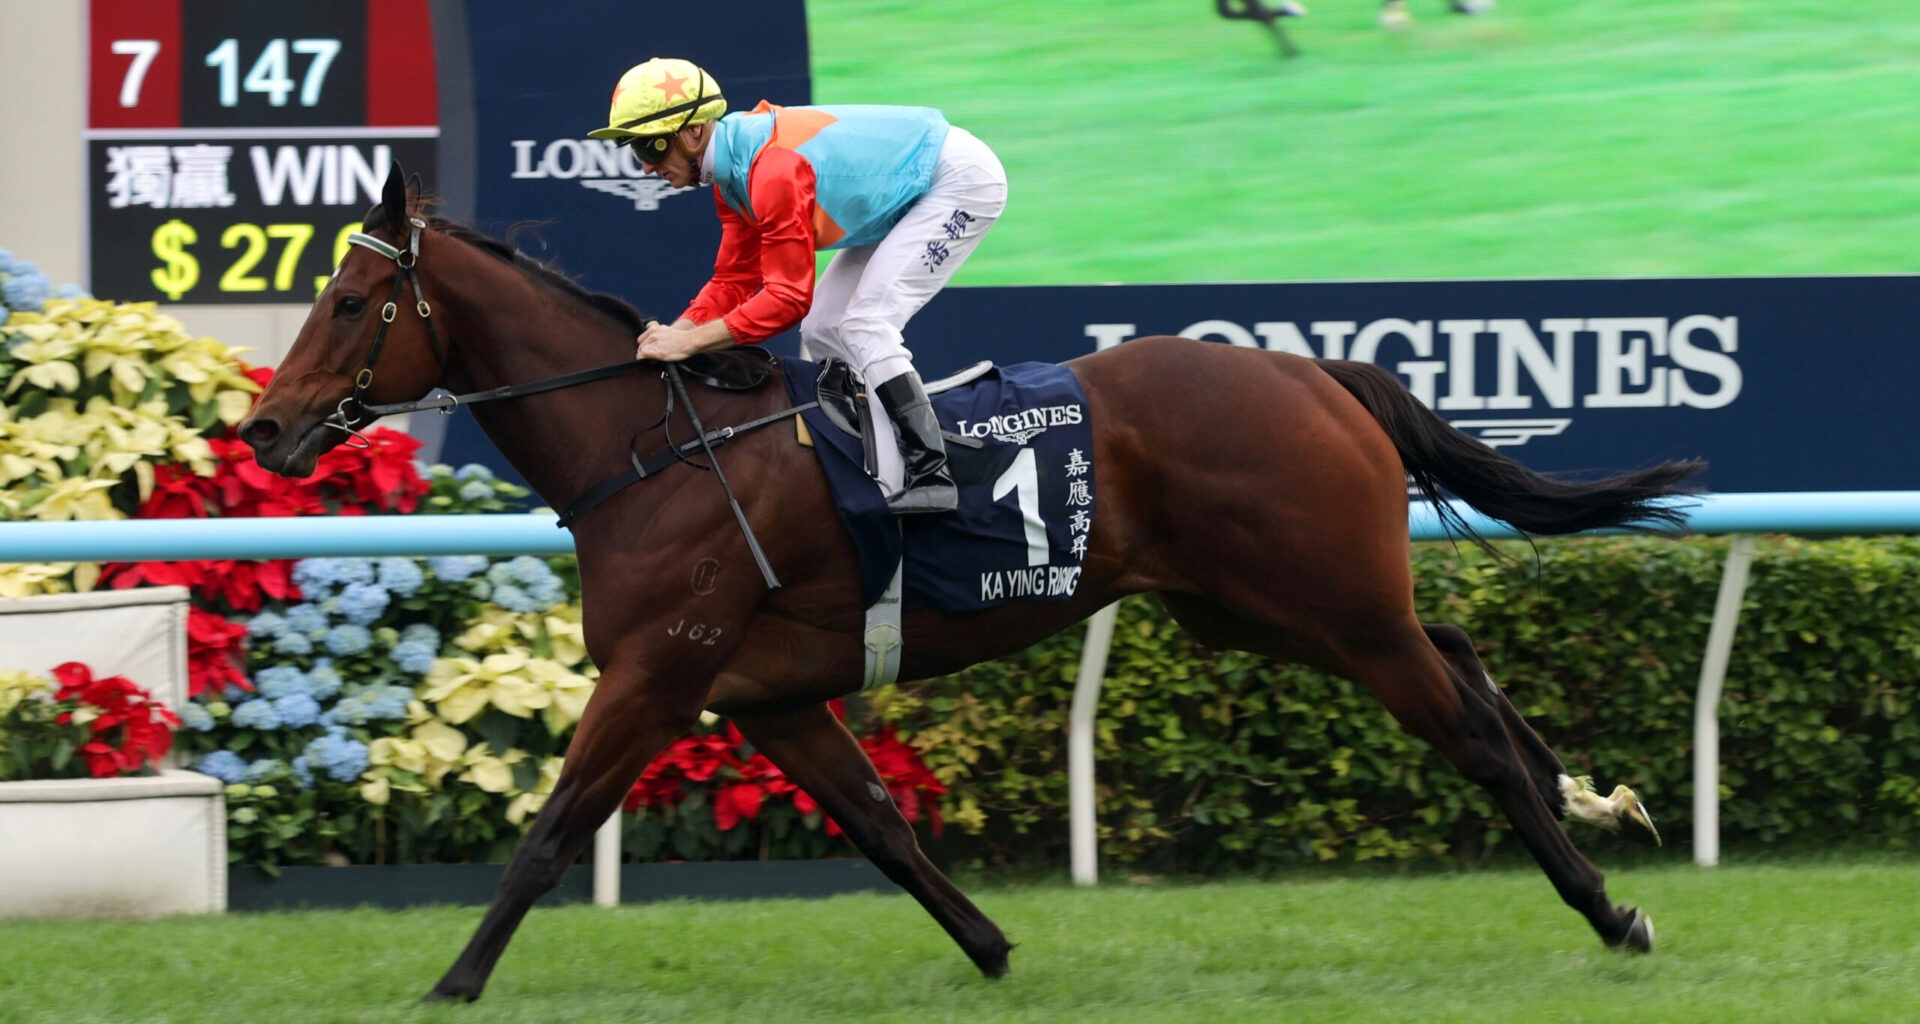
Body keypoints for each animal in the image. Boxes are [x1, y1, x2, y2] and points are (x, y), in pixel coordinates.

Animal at [240, 166, 1699, 1003]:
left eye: (350, 304)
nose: (265, 428)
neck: (652, 451)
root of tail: (1308, 367)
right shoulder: (766, 695)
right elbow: (883, 830)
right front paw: (993, 949)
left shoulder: (661, 671)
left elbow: (547, 833)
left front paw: (450, 983)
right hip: (1263, 608)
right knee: (1455, 644)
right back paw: (1592, 799)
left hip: (1322, 602)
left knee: (1461, 727)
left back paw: (1612, 909)